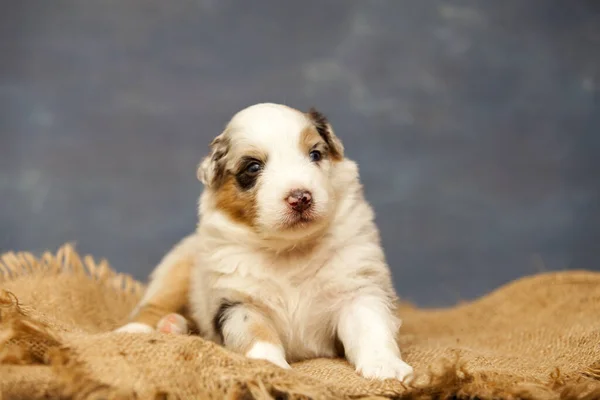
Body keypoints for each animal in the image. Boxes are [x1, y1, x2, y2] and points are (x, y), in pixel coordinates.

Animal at [114, 102, 412, 382]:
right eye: (253, 167)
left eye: (315, 154)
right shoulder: (238, 301)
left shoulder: (357, 286)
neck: (290, 250)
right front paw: (270, 367)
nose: (300, 197)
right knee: (152, 305)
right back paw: (139, 330)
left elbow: (370, 326)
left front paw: (385, 367)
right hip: (177, 267)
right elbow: (256, 333)